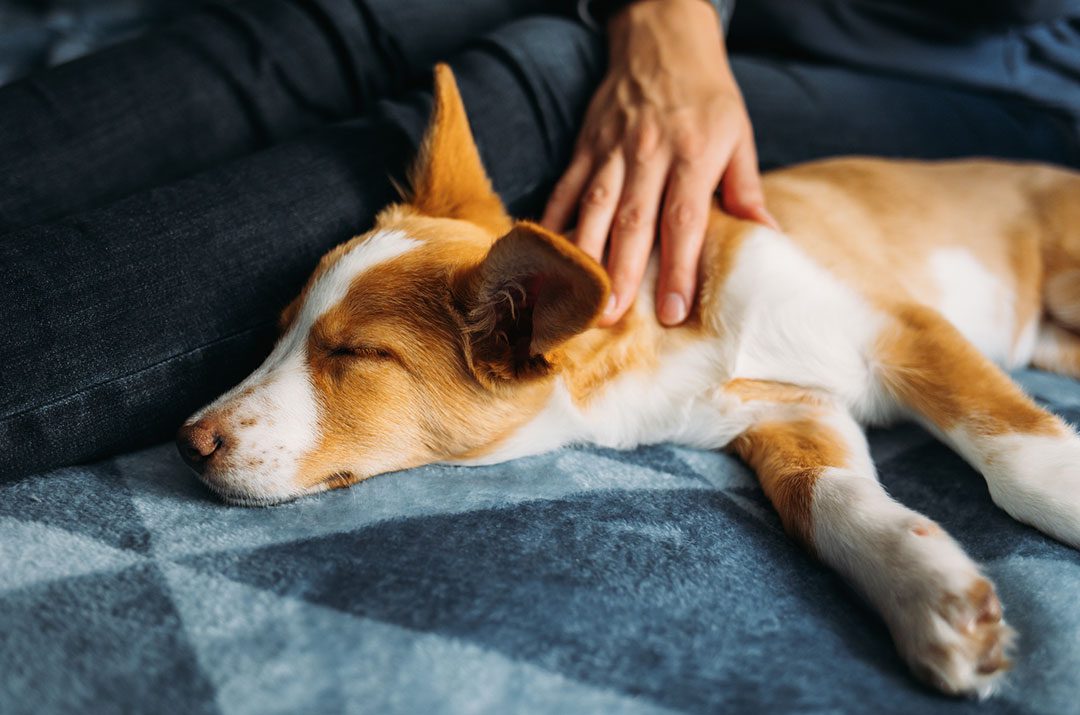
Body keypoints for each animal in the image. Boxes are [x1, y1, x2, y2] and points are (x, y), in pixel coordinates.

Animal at [177, 65, 1080, 695]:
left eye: (354, 355)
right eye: (282, 328)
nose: (187, 444)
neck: (669, 336)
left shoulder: (902, 326)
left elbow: (1016, 457)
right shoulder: (790, 413)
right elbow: (826, 502)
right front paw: (929, 598)